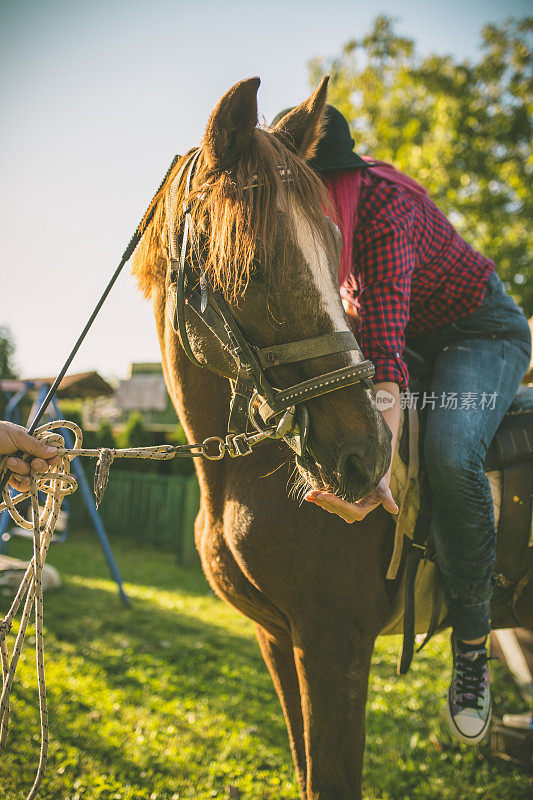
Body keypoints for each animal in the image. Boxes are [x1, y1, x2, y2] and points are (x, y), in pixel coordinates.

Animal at [133, 78, 396, 800]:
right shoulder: (279, 638)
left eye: (335, 247)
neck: (237, 481)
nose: (367, 455)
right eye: (250, 268)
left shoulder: (335, 643)